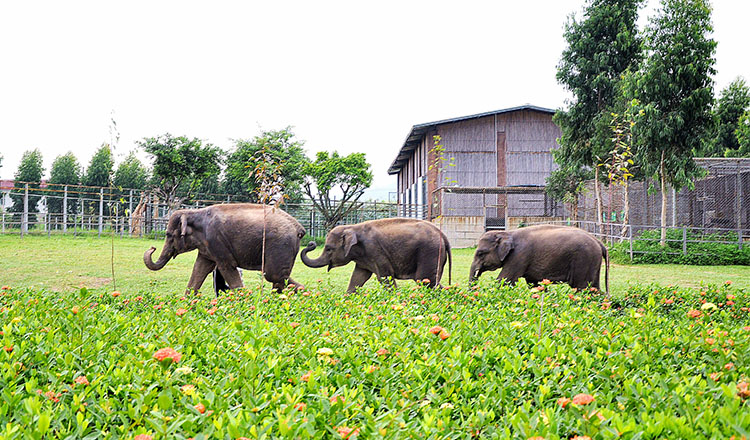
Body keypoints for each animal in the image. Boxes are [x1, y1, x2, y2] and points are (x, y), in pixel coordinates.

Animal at [144, 204, 306, 294]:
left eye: (168, 234)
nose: (152, 247)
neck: (194, 212)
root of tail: (299, 228)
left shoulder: (217, 242)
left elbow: (227, 268)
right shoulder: (207, 247)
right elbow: (199, 269)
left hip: (280, 245)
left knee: (274, 276)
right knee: (280, 277)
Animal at [300, 218, 452, 294]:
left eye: (328, 249)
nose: (311, 243)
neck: (353, 226)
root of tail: (444, 236)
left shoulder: (375, 250)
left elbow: (385, 277)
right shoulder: (363, 258)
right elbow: (358, 277)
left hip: (429, 253)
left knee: (425, 280)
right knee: (431, 282)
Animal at [470, 225, 612, 294]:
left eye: (480, 253)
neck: (508, 233)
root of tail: (600, 243)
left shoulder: (519, 255)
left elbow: (505, 280)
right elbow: (533, 283)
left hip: (584, 259)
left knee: (581, 287)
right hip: (592, 261)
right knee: (594, 288)